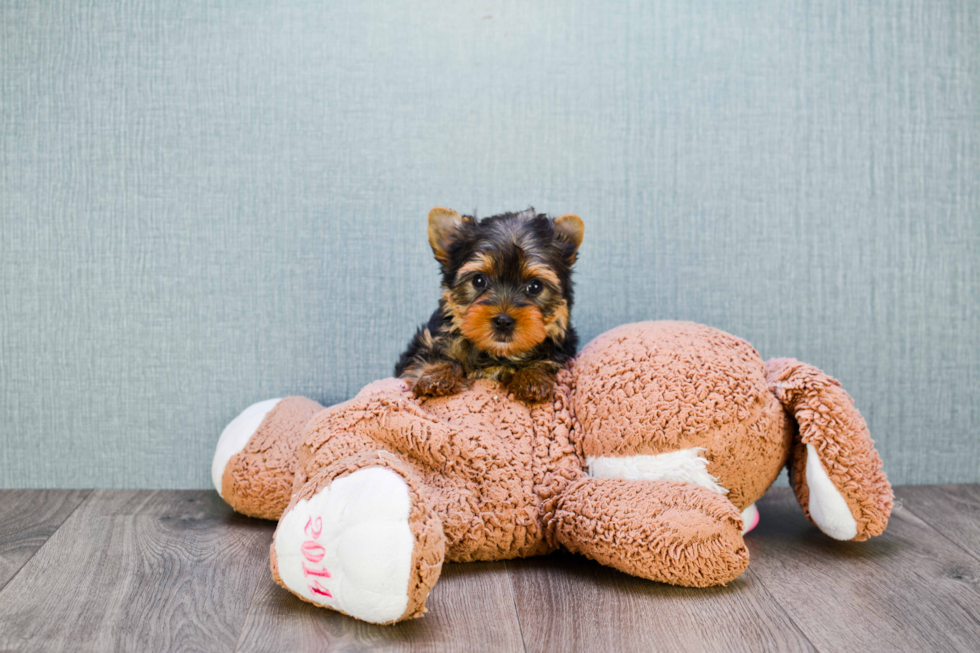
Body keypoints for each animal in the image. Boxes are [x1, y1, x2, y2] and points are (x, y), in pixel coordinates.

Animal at [396, 208, 584, 402]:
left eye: (535, 287)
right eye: (478, 280)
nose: (503, 321)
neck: (496, 354)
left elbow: (546, 360)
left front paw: (532, 377)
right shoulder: (428, 341)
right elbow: (433, 355)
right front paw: (437, 375)